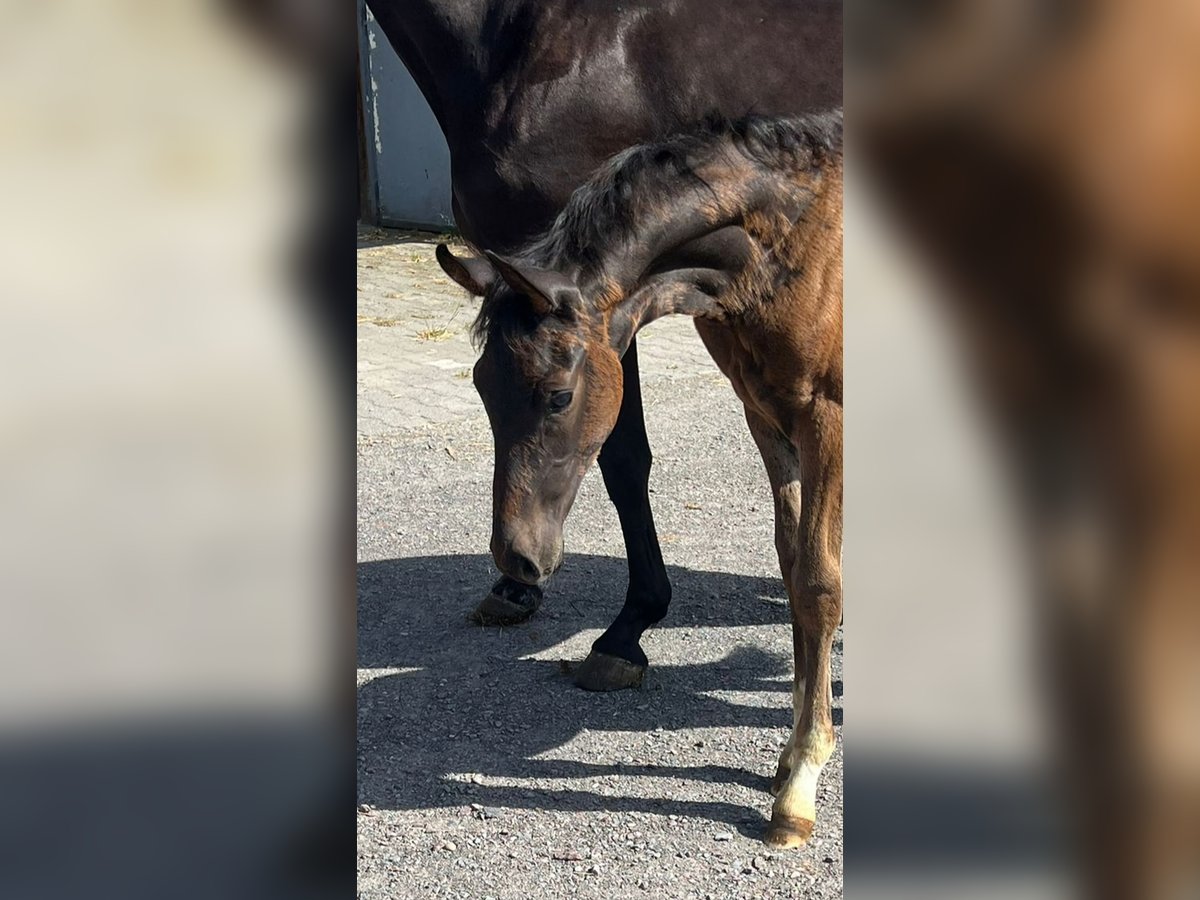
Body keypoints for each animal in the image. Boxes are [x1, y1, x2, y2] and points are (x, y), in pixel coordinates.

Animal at [439, 109, 844, 849]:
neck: (797, 238)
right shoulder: (767, 413)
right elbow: (791, 566)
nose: (517, 557)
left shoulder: (825, 416)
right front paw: (789, 755)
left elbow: (819, 586)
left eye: (558, 396)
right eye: (482, 384)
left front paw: (800, 779)